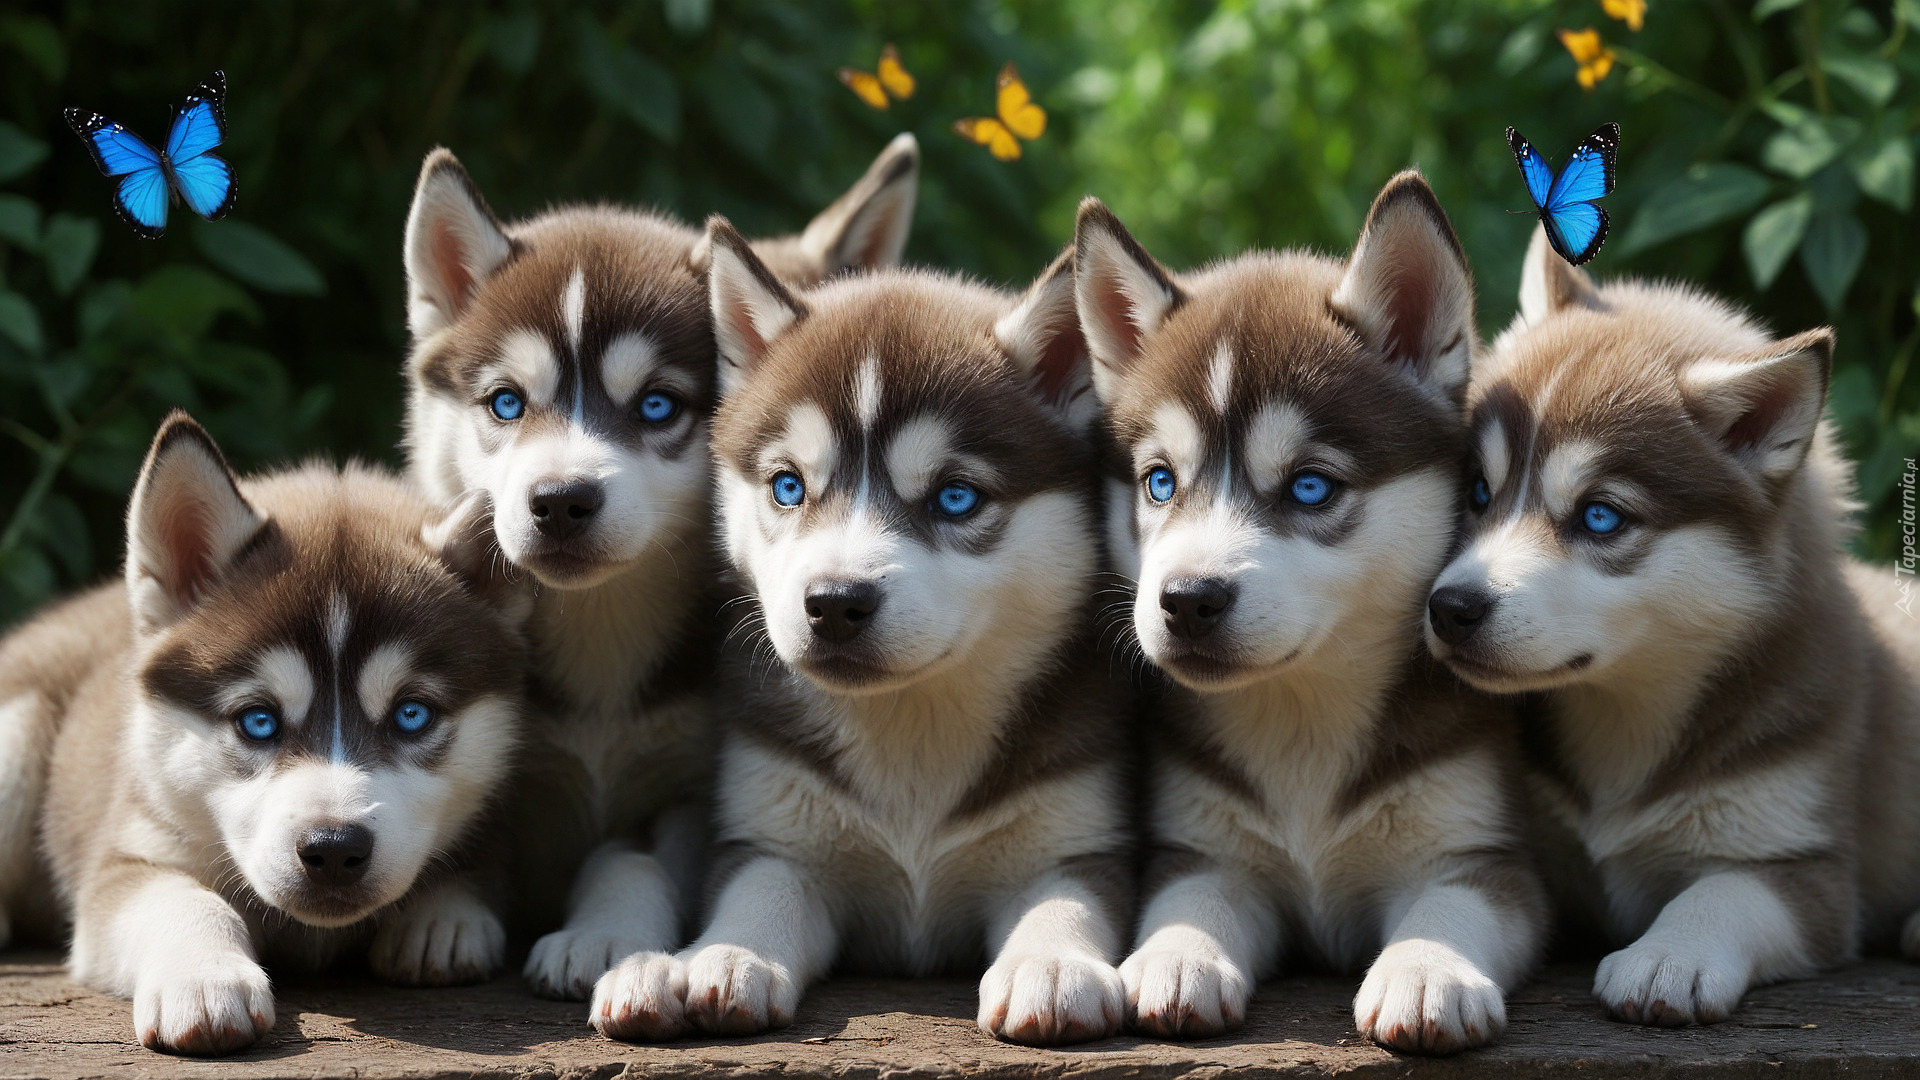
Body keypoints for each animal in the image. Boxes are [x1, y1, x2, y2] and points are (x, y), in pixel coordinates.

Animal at [0, 411, 526, 1053]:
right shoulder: (130, 852)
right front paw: (203, 977)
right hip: (17, 735)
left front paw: (444, 917)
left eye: (412, 714)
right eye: (258, 721)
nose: (334, 849)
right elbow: (182, 899)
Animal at [397, 138, 921, 999]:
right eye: (506, 403)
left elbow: (631, 860)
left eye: (655, 406)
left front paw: (606, 933)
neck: (599, 633)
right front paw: (444, 910)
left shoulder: (685, 789)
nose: (561, 501)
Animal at [587, 220, 1136, 1045]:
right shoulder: (774, 836)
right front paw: (726, 954)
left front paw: (1051, 964)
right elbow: (759, 892)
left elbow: (1063, 901)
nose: (835, 603)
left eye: (955, 497)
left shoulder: (1076, 841)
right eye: (788, 487)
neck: (909, 727)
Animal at [1082, 176, 1543, 1053]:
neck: (1302, 718)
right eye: (1159, 482)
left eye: (1309, 486)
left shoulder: (1481, 852)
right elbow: (1191, 899)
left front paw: (1426, 971)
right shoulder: (1205, 846)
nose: (1187, 600)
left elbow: (1452, 903)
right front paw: (1177, 955)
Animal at [1428, 228, 1920, 1022]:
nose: (1450, 608)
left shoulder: (1803, 865)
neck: (1626, 713)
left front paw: (1668, 957)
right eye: (1477, 490)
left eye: (1600, 516)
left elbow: (1725, 891)